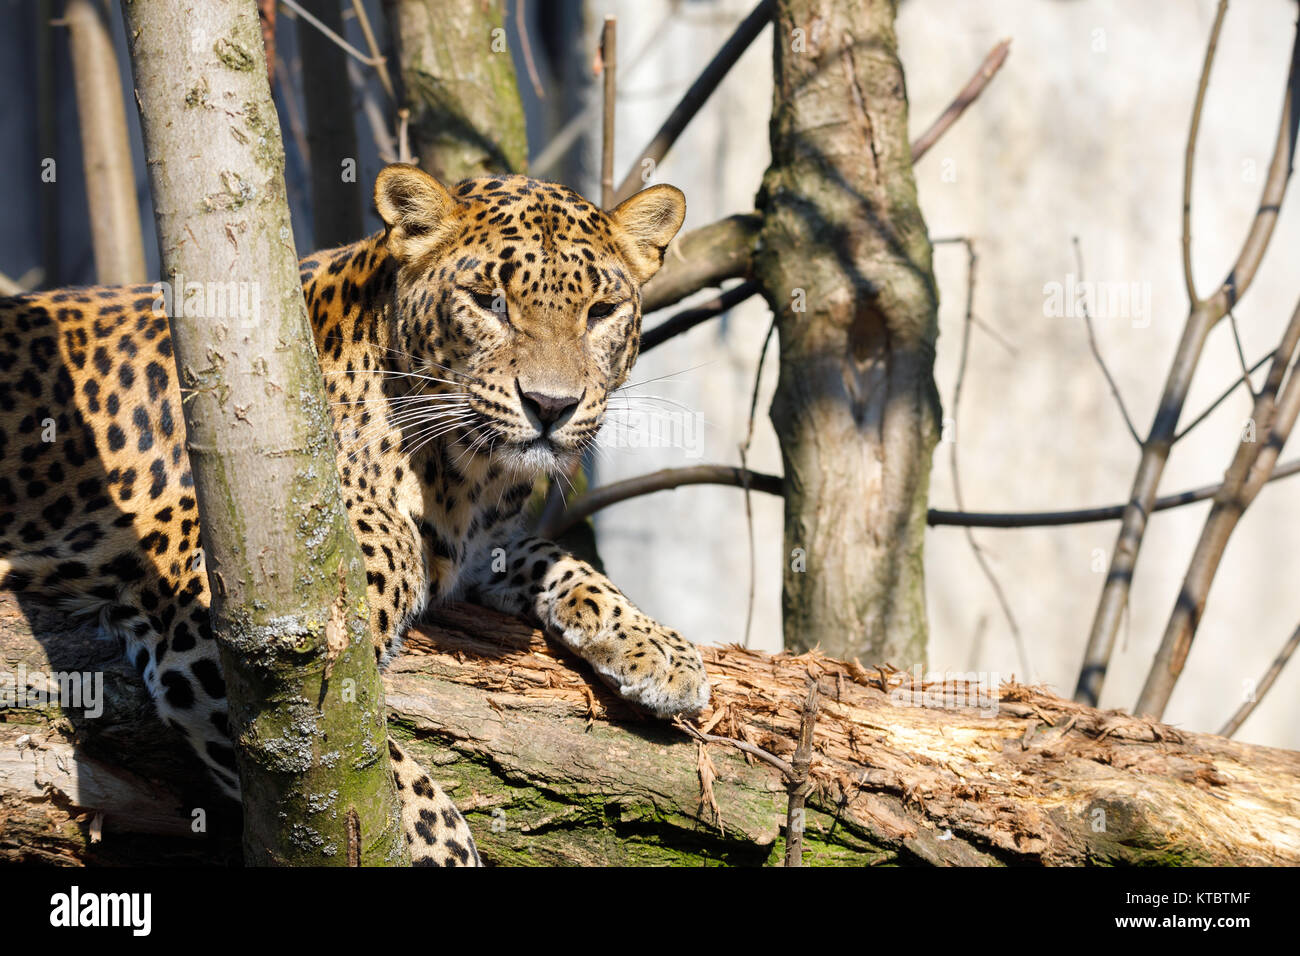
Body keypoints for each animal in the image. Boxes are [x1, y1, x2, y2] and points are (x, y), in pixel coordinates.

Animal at [0, 164, 712, 868]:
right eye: (489, 302)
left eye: (602, 312)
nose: (551, 406)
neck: (465, 476)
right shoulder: (224, 624)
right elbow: (382, 776)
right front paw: (442, 849)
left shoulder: (476, 546)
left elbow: (559, 558)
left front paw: (662, 650)